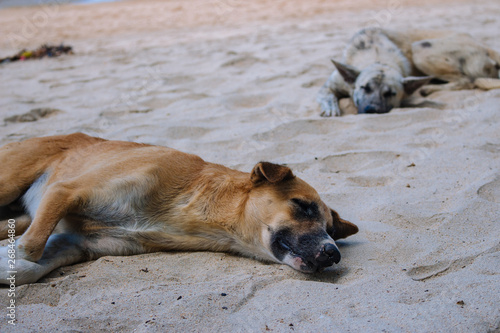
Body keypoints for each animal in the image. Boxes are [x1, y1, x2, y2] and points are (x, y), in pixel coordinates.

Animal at [0, 134, 360, 284]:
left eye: (330, 231)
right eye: (302, 207)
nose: (333, 254)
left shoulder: (78, 244)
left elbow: (33, 265)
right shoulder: (65, 191)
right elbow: (30, 249)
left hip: (20, 216)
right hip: (9, 183)